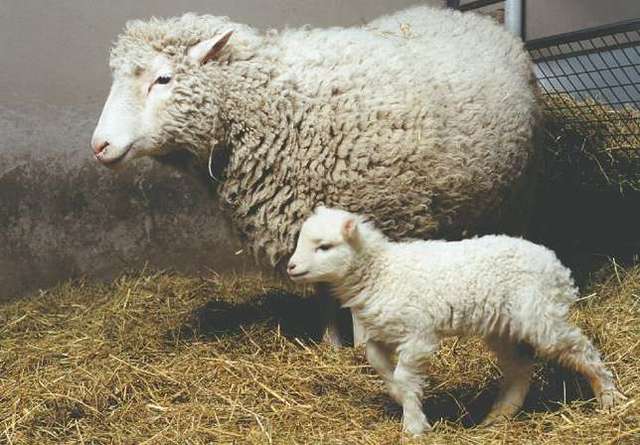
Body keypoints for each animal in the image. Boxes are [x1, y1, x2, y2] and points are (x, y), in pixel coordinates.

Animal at [91, 5, 539, 346]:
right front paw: (330, 345)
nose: (99, 145)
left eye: (163, 78)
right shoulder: (304, 221)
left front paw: (362, 350)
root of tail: (469, 17)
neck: (274, 107)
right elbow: (323, 288)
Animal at [288, 207, 626, 435]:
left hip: (540, 316)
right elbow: (380, 364)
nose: (291, 267)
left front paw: (414, 424)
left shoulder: (418, 334)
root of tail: (555, 264)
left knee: (580, 349)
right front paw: (400, 397)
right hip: (502, 327)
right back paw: (497, 418)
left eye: (324, 246)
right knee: (519, 368)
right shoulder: (385, 331)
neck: (381, 271)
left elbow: (405, 375)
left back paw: (608, 396)